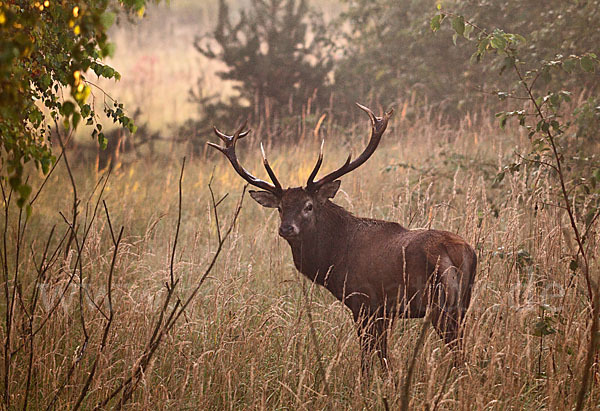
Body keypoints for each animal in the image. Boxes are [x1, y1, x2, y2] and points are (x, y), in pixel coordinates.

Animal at [209, 103, 476, 374]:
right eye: (281, 208)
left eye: (308, 206)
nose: (286, 229)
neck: (334, 257)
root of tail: (460, 252)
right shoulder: (384, 311)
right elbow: (384, 356)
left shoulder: (363, 301)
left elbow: (369, 356)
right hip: (463, 301)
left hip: (440, 303)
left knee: (458, 351)